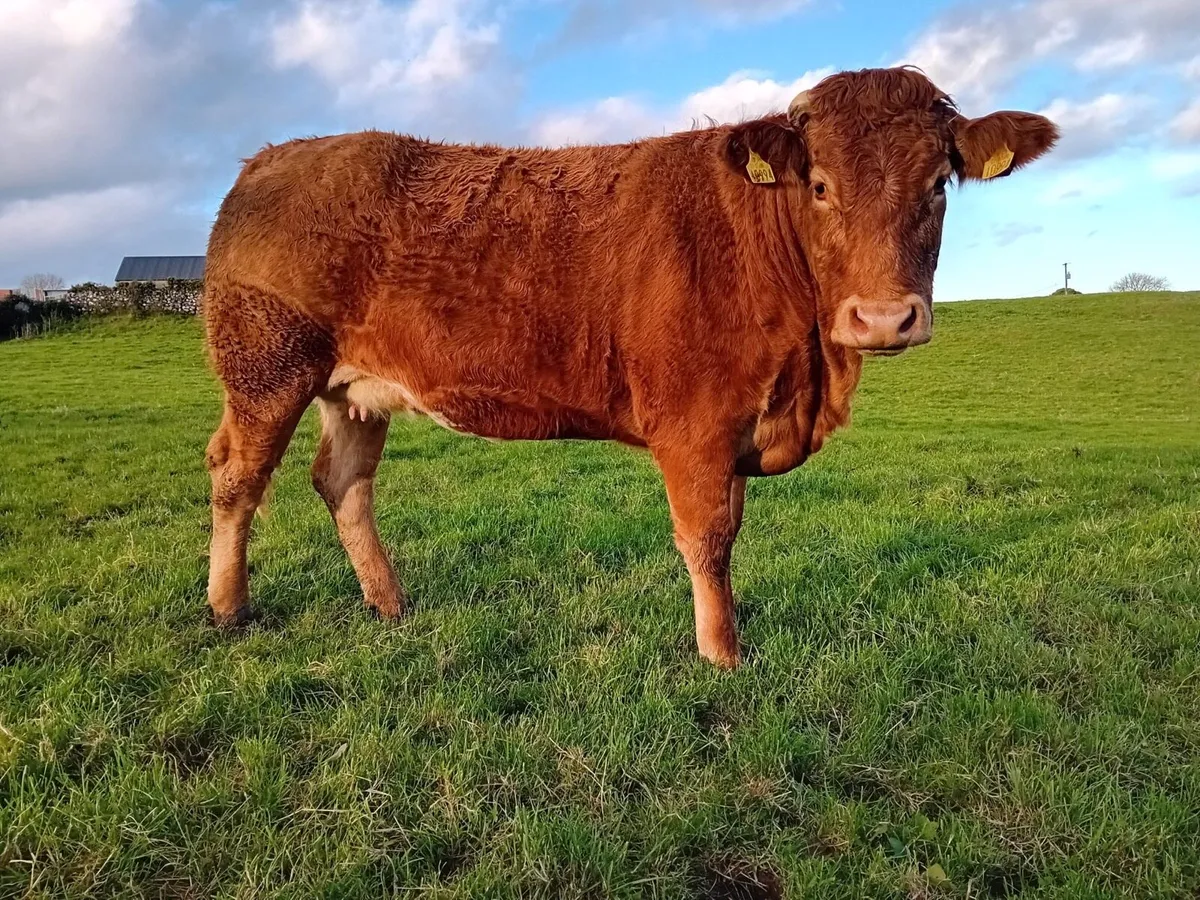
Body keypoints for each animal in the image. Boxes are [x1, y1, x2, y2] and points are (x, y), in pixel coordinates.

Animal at [203, 66, 1057, 667]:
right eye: (820, 185)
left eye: (938, 185)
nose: (883, 318)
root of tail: (273, 157)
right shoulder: (694, 425)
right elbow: (706, 539)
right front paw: (721, 657)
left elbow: (728, 530)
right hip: (266, 368)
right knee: (237, 477)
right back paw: (228, 608)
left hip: (353, 390)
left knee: (342, 481)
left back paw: (389, 605)